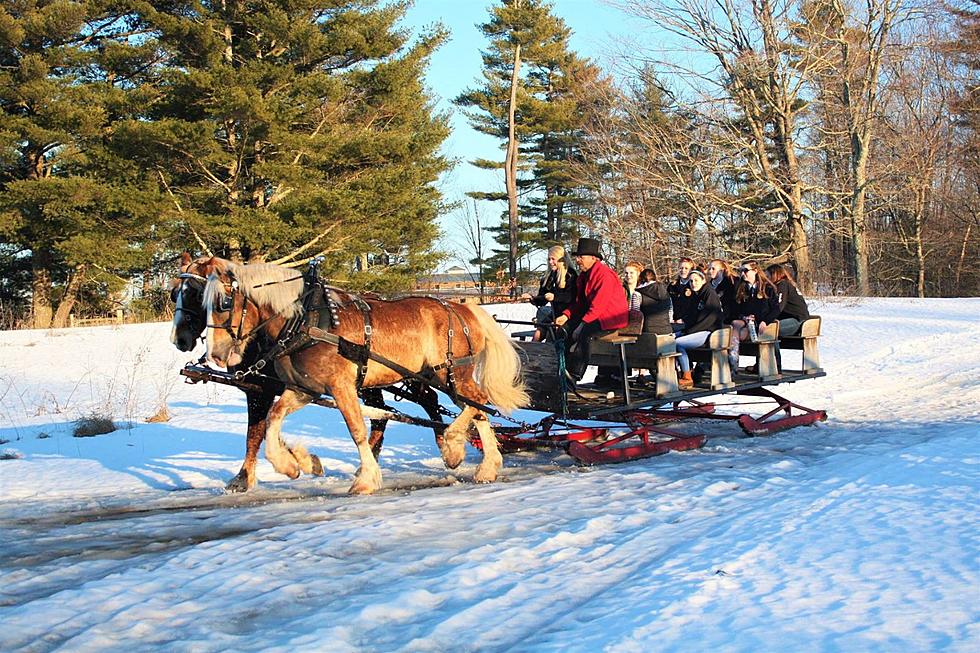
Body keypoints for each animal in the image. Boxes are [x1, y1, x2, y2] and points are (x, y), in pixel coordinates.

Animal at [202, 258, 532, 492]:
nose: (215, 355)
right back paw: (486, 465)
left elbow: (357, 429)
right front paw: (294, 465)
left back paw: (454, 443)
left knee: (478, 401)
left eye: (225, 304)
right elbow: (273, 418)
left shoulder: (341, 386)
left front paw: (366, 479)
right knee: (476, 408)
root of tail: (463, 309)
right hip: (443, 377)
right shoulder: (304, 389)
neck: (306, 320)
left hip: (451, 373)